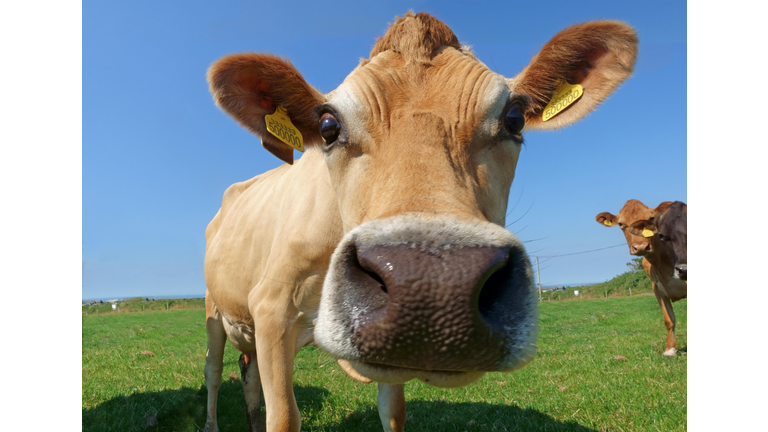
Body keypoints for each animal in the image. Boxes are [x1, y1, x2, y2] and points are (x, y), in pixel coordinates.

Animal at [204, 12, 638, 432]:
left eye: (514, 118)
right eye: (328, 126)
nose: (432, 285)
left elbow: (393, 412)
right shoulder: (271, 308)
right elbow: (284, 416)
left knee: (248, 374)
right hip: (214, 310)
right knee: (214, 371)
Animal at [596, 199, 687, 357]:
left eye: (651, 218)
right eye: (621, 224)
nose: (641, 247)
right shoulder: (657, 288)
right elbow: (669, 320)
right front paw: (670, 349)